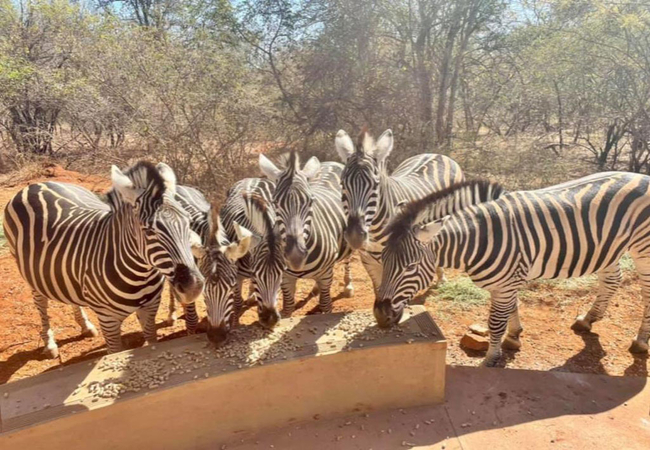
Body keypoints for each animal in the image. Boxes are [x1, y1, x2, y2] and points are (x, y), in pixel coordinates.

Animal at [2, 162, 204, 358]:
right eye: (148, 231)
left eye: (188, 222)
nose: (193, 287)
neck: (140, 275)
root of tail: (37, 184)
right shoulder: (108, 320)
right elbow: (114, 352)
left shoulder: (149, 307)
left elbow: (151, 339)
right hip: (29, 271)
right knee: (40, 303)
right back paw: (50, 343)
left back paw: (85, 326)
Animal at [256, 153, 354, 314]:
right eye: (275, 203)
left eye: (310, 201)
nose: (295, 257)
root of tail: (331, 162)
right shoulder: (285, 279)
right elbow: (288, 308)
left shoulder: (326, 276)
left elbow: (325, 305)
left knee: (348, 258)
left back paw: (348, 285)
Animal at [332, 128, 464, 294]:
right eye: (342, 184)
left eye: (376, 185)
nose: (355, 237)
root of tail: (436, 154)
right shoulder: (368, 261)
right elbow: (378, 292)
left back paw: (441, 277)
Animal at [372, 172, 648, 366]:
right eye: (382, 259)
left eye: (411, 266)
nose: (380, 317)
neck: (480, 237)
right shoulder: (509, 280)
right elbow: (512, 308)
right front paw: (514, 336)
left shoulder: (506, 283)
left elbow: (495, 322)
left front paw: (491, 359)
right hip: (607, 248)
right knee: (612, 280)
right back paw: (588, 320)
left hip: (643, 248)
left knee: (645, 294)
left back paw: (640, 342)